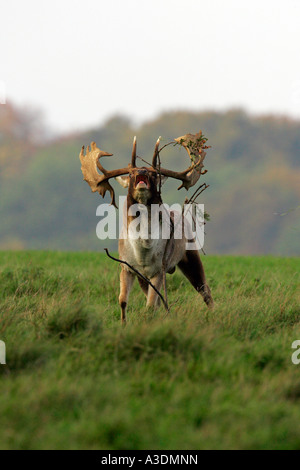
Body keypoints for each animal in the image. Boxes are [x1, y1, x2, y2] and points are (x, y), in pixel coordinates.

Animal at [80, 134, 213, 322]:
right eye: (130, 173)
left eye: (154, 173)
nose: (142, 172)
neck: (142, 253)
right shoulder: (127, 267)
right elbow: (123, 301)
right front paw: (123, 324)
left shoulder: (158, 269)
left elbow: (150, 306)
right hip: (146, 277)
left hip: (190, 254)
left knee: (205, 290)